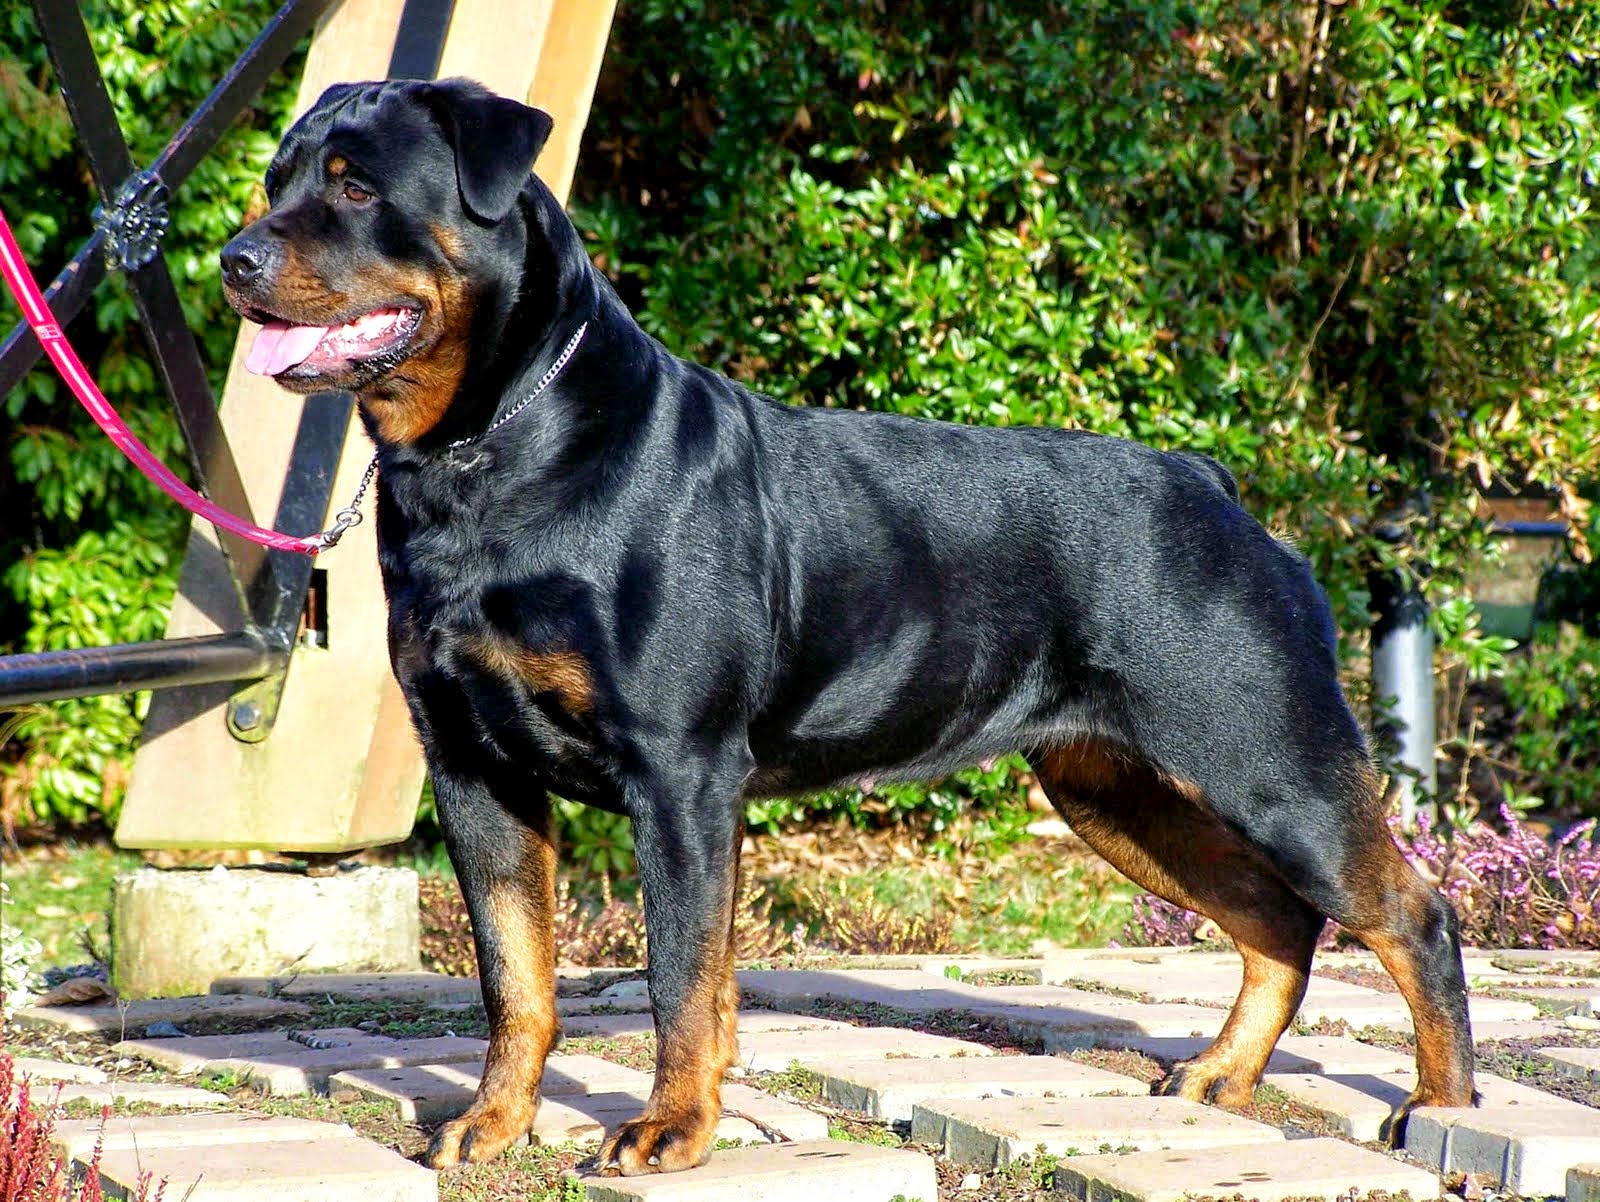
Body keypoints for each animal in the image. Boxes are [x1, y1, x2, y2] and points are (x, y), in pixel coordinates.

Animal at [222, 77, 1472, 1177]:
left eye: (354, 186)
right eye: (277, 181)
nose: (236, 258)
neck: (485, 454)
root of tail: (1217, 489)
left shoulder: (678, 771)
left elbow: (678, 972)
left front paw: (669, 1129)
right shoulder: (476, 765)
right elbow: (517, 973)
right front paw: (494, 1123)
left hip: (1267, 755)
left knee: (1408, 913)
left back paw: (1444, 1110)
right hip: (1115, 789)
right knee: (1277, 921)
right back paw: (1223, 1073)